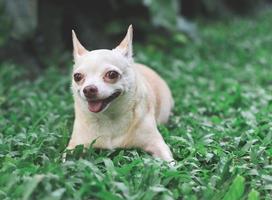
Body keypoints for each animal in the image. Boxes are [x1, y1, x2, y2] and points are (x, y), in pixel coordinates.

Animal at [67, 25, 175, 162]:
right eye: (77, 77)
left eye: (112, 74)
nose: (88, 89)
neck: (109, 117)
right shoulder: (74, 147)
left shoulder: (157, 144)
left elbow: (169, 163)